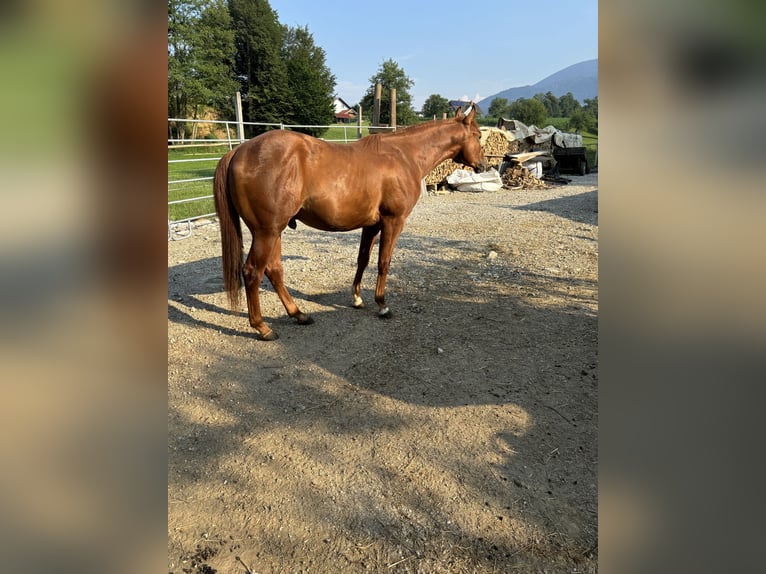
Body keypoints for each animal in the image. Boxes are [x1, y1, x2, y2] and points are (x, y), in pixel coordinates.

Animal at [212, 105, 486, 340]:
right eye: (478, 135)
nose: (483, 165)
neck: (403, 155)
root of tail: (238, 151)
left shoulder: (371, 224)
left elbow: (363, 259)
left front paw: (357, 298)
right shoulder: (393, 221)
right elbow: (384, 262)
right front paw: (382, 305)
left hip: (274, 232)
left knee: (274, 270)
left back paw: (298, 314)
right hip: (266, 232)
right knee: (252, 272)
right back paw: (262, 327)